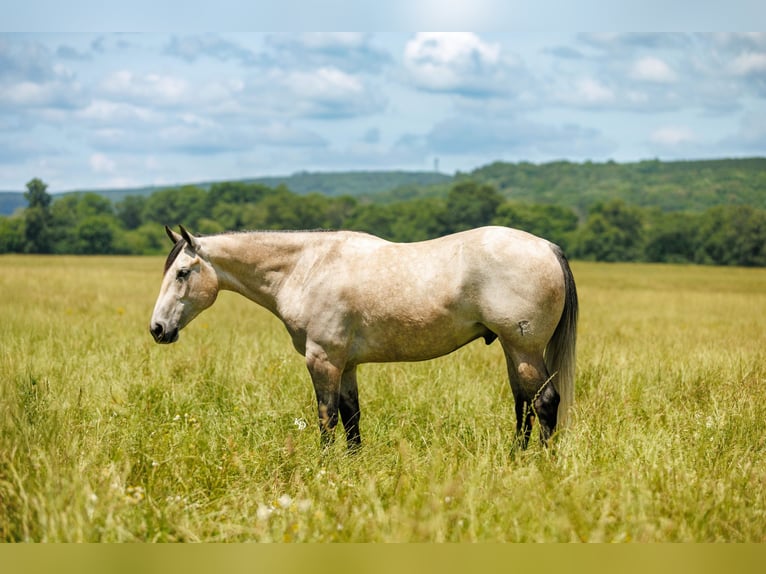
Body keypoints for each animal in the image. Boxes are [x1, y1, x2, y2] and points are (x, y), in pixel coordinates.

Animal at [149, 225, 578, 451]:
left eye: (183, 273)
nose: (157, 329)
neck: (306, 268)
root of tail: (548, 247)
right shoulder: (347, 364)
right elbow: (351, 417)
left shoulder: (323, 360)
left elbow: (326, 417)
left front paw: (324, 469)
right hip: (512, 348)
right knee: (523, 403)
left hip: (523, 347)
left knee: (544, 402)